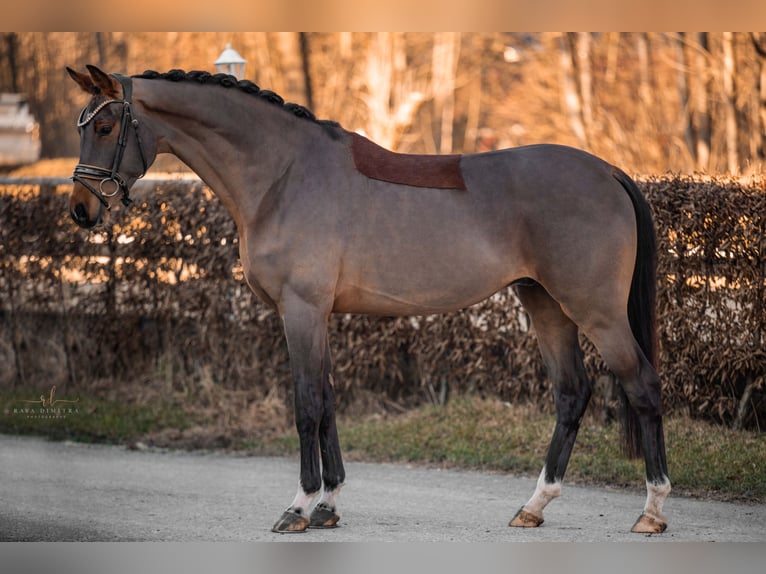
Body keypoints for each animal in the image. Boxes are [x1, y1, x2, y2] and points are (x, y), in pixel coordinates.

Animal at [64, 65, 672, 536]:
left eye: (106, 125)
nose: (81, 210)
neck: (283, 175)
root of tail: (607, 172)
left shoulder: (301, 311)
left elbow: (307, 404)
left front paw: (299, 507)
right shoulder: (318, 316)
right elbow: (329, 402)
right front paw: (329, 506)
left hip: (595, 311)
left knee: (642, 385)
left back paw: (652, 511)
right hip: (544, 304)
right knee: (572, 393)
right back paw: (533, 506)